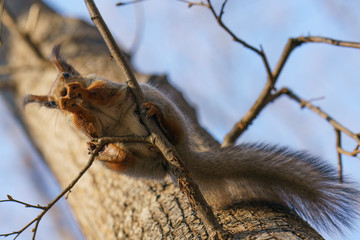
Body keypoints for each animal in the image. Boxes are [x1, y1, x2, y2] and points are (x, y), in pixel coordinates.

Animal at [24, 45, 360, 234]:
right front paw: (82, 124)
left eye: (67, 74)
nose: (64, 97)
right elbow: (89, 127)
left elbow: (107, 92)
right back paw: (110, 154)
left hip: (156, 101)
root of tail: (177, 154)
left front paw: (83, 93)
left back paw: (157, 116)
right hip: (137, 164)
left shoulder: (112, 86)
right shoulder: (87, 125)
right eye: (51, 103)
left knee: (164, 120)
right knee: (125, 160)